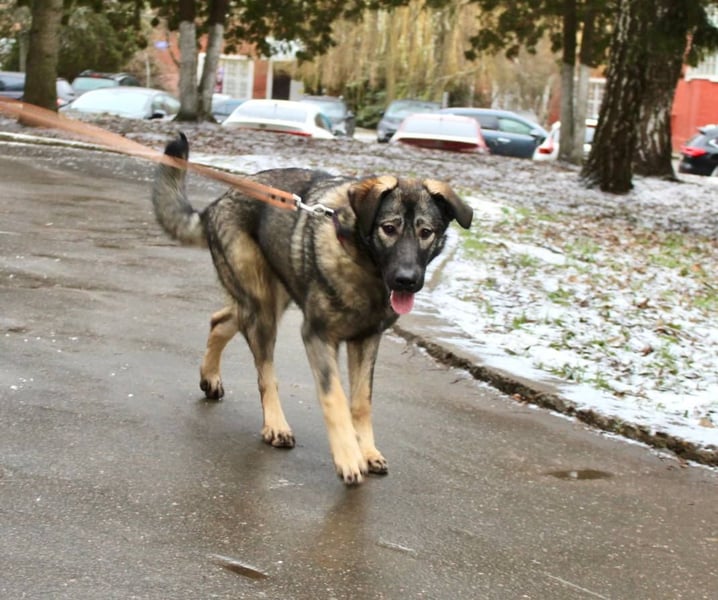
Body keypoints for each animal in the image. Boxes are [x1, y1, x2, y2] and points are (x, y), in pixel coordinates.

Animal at [151, 133, 473, 485]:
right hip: (263, 308)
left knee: (220, 320)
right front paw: (349, 457)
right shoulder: (317, 336)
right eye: (389, 228)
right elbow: (335, 398)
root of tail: (216, 203)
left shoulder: (366, 341)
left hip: (267, 300)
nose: (407, 280)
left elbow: (361, 401)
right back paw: (275, 425)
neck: (362, 262)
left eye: (426, 232)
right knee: (265, 373)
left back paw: (210, 378)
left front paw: (367, 450)